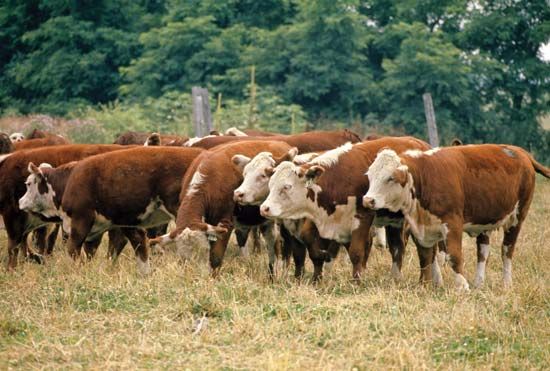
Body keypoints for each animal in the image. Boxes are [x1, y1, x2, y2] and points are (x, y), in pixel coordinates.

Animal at [20, 147, 205, 274]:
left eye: (28, 184)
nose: (20, 202)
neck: (69, 181)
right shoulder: (121, 224)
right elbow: (133, 247)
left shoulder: (81, 220)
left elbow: (73, 249)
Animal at [362, 145, 550, 290]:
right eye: (370, 176)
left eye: (390, 178)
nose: (367, 200)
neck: (424, 177)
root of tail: (520, 151)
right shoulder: (421, 228)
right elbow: (425, 256)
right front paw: (424, 285)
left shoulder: (452, 223)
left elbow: (454, 255)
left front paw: (461, 286)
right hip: (484, 223)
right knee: (483, 253)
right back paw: (478, 283)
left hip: (517, 218)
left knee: (507, 251)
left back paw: (506, 284)